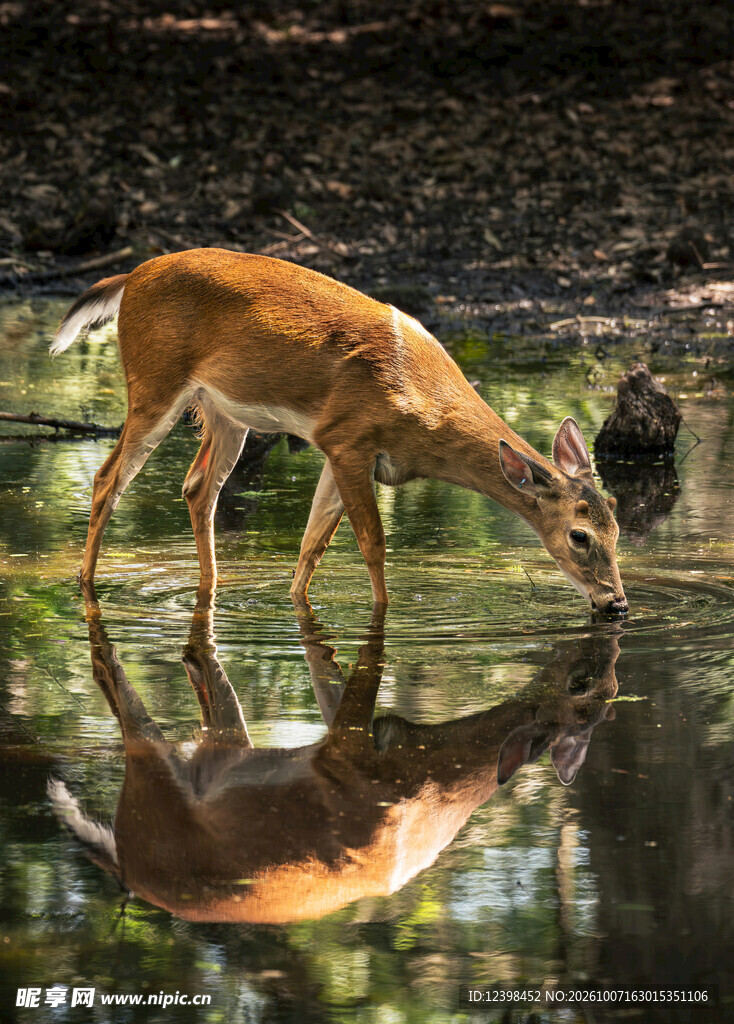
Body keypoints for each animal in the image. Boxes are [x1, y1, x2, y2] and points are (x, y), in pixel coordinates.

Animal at [49, 601, 620, 924]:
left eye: (611, 697)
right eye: (581, 687)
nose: (608, 630)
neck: (428, 780)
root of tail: (128, 865)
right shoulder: (344, 751)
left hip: (220, 752)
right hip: (152, 782)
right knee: (115, 688)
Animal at [51, 248, 627, 614]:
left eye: (618, 527)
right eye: (579, 535)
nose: (616, 603)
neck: (424, 405)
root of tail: (130, 277)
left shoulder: (340, 448)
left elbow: (313, 543)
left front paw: (294, 602)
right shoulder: (348, 438)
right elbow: (372, 542)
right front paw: (382, 615)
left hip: (225, 413)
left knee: (198, 487)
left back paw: (211, 590)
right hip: (154, 382)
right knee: (108, 479)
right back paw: (86, 585)